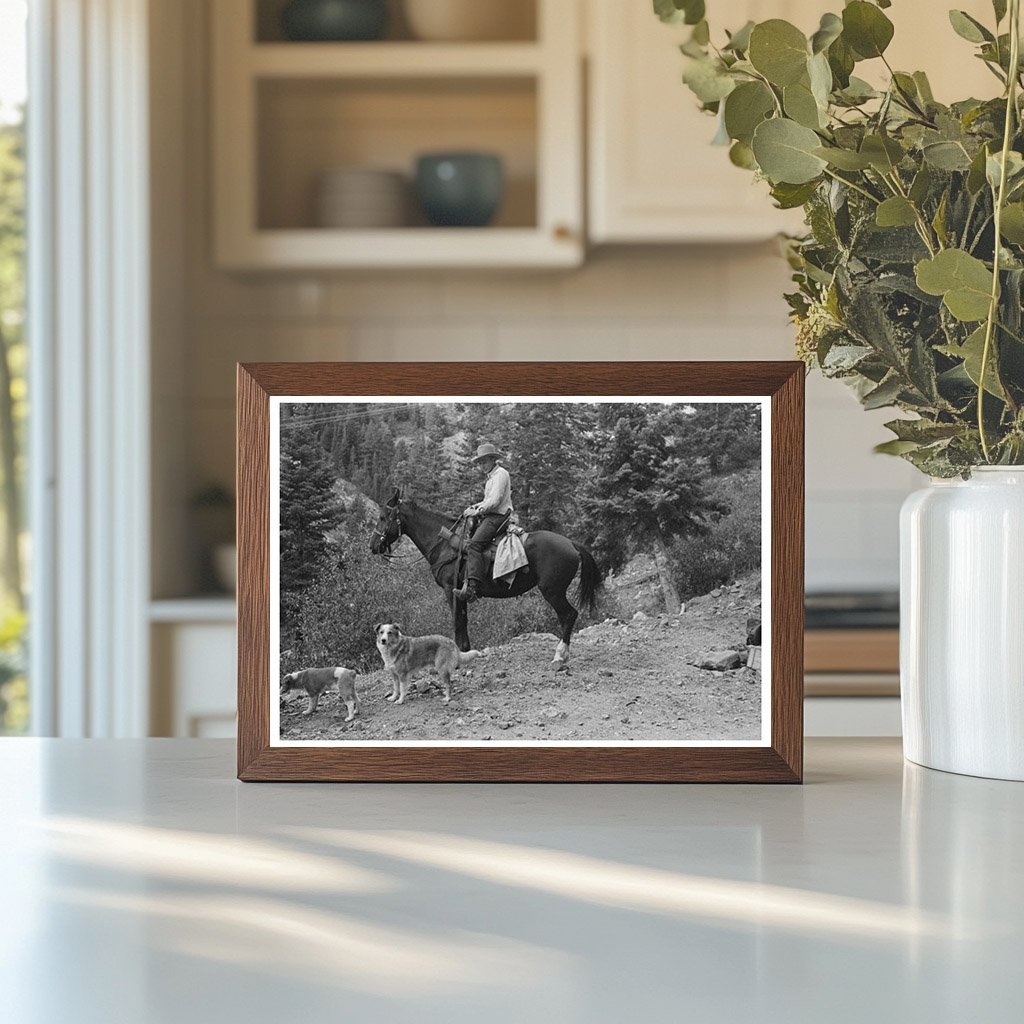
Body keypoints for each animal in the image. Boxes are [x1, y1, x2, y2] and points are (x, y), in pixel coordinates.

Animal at [372, 489, 602, 667]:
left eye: (383, 517)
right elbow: (463, 620)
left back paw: (559, 656)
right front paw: (465, 651)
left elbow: (457, 621)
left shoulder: (449, 589)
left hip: (552, 591)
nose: (373, 546)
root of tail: (572, 544)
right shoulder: (461, 592)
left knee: (568, 615)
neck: (445, 544)